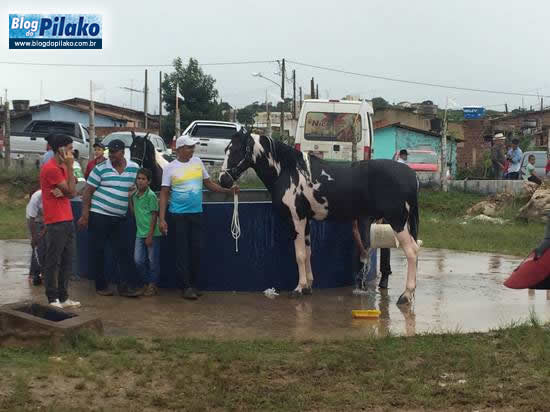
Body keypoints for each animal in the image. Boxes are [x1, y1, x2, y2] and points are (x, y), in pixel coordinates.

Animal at [219, 128, 420, 305]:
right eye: (226, 149)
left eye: (236, 150)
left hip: (397, 221)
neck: (290, 171)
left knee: (411, 252)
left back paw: (406, 295)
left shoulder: (297, 219)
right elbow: (308, 252)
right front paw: (308, 286)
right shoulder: (306, 221)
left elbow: (299, 254)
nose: (223, 180)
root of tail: (411, 175)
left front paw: (299, 288)